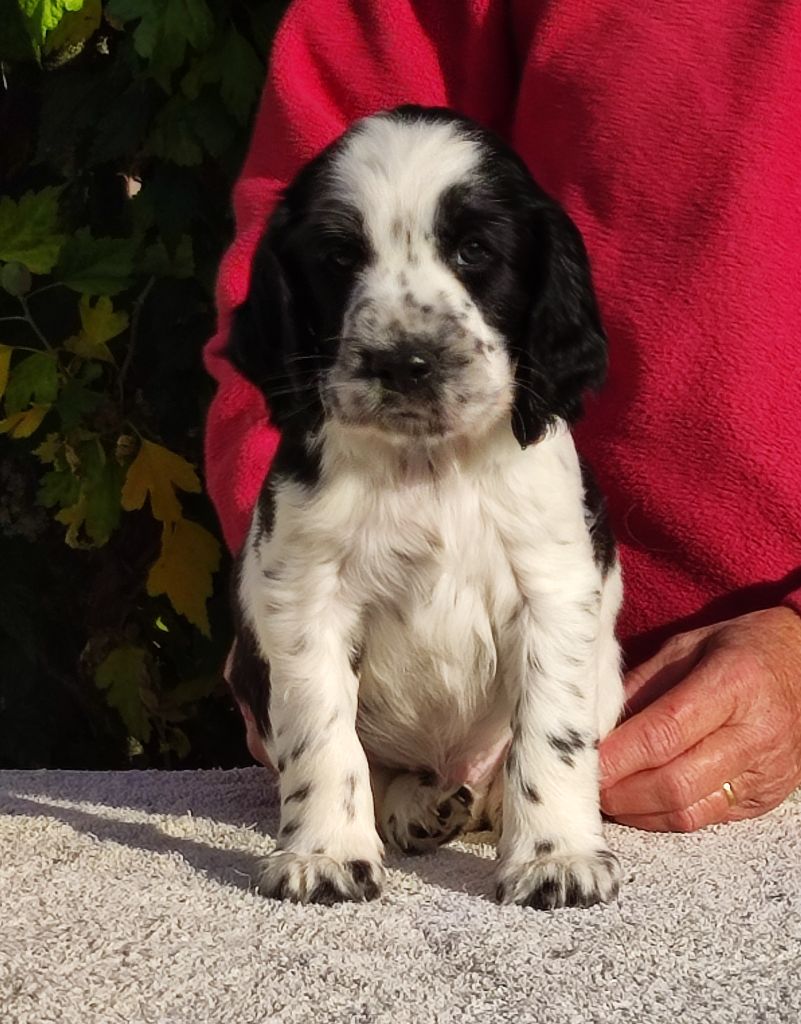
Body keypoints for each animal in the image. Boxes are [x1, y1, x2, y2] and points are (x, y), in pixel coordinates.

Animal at [225, 103, 626, 909]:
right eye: (338, 258)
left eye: (474, 250)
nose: (404, 362)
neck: (429, 465)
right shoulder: (305, 597)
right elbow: (323, 733)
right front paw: (323, 854)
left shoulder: (554, 589)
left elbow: (550, 732)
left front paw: (555, 856)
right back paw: (417, 805)